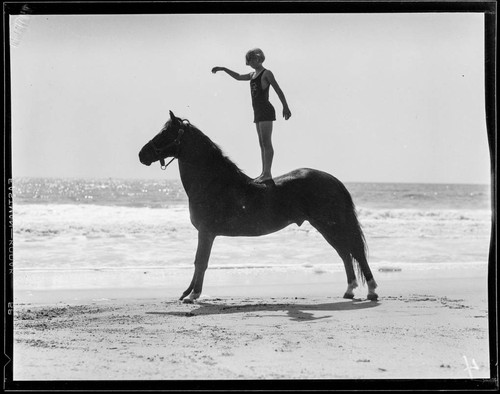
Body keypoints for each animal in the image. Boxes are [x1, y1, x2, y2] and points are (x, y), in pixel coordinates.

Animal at [139, 112, 376, 304]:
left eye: (165, 133)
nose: (142, 154)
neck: (214, 182)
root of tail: (333, 180)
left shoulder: (206, 233)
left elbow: (201, 262)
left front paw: (193, 295)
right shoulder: (205, 233)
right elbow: (198, 262)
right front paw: (187, 293)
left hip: (330, 224)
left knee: (353, 251)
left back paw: (371, 290)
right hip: (326, 226)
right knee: (345, 253)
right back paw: (350, 291)